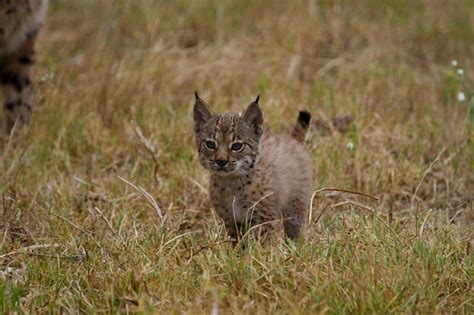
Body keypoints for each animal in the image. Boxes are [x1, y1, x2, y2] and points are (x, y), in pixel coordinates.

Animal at [193, 92, 314, 243]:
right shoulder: (231, 219)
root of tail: (292, 140)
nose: (221, 161)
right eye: (210, 144)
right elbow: (238, 242)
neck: (231, 181)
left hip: (296, 207)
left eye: (237, 146)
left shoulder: (264, 217)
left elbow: (264, 242)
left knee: (296, 230)